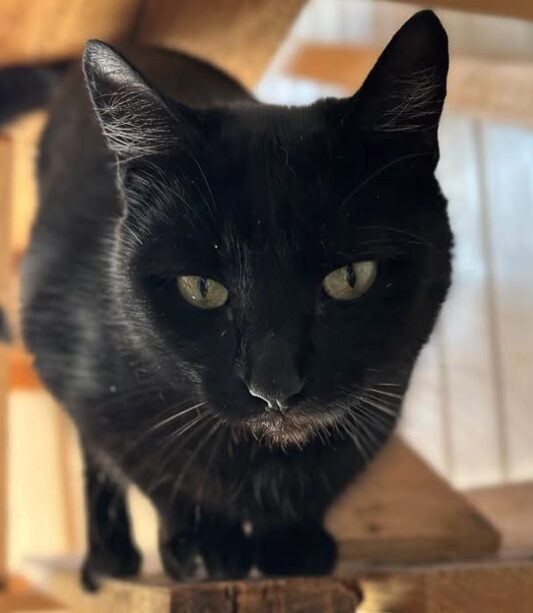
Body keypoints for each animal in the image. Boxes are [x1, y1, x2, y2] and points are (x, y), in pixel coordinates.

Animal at [0, 10, 450, 588]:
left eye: (351, 277)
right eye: (201, 288)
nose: (274, 387)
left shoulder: (382, 398)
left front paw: (292, 543)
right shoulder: (73, 361)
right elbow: (146, 462)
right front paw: (203, 545)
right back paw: (110, 558)